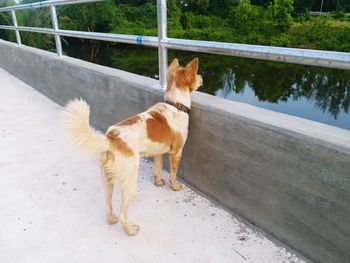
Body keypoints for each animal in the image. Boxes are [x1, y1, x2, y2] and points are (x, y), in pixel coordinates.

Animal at [61, 58, 201, 237]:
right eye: (196, 74)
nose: (202, 77)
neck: (175, 104)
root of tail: (111, 138)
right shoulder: (176, 152)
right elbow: (173, 174)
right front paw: (175, 187)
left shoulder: (159, 153)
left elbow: (157, 168)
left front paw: (158, 182)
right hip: (130, 181)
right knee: (123, 214)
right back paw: (130, 230)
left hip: (107, 179)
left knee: (107, 204)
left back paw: (111, 219)